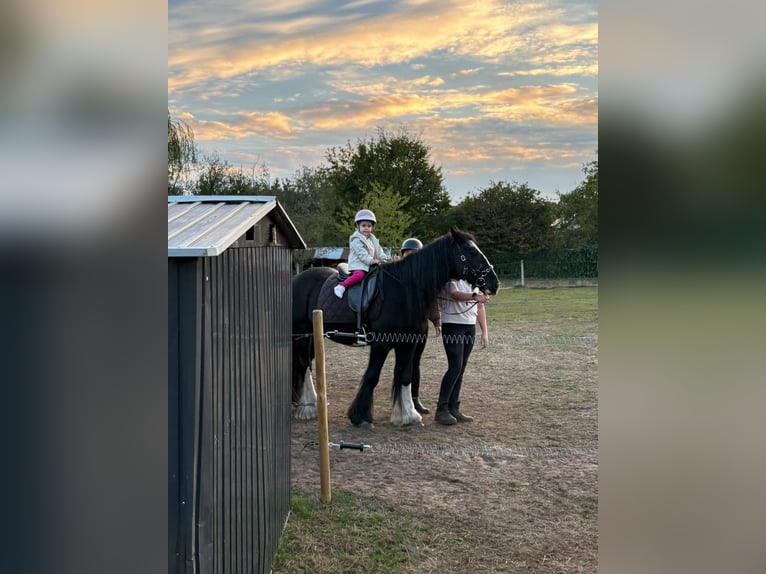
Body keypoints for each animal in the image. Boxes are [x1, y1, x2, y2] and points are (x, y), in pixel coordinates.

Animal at [291, 227, 499, 428]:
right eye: (471, 252)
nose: (494, 283)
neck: (404, 289)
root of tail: (296, 280)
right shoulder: (381, 344)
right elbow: (372, 376)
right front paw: (360, 417)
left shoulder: (408, 344)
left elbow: (406, 376)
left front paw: (407, 415)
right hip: (302, 335)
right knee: (305, 366)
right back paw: (308, 408)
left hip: (313, 337)